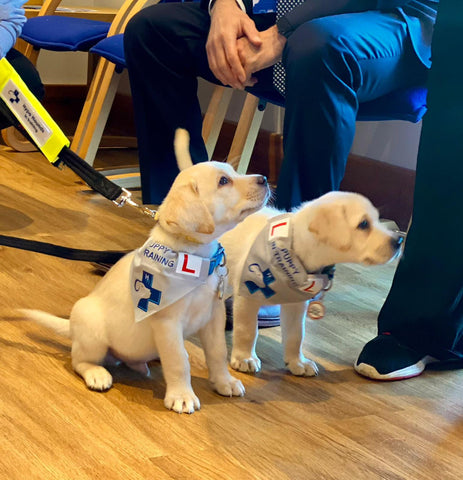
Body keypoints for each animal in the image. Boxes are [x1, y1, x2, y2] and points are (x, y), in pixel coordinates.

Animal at [21, 129, 270, 414]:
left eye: (232, 172)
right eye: (223, 181)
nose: (264, 178)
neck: (195, 257)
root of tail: (71, 327)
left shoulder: (214, 316)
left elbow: (217, 352)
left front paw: (224, 382)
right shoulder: (167, 322)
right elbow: (179, 360)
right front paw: (182, 395)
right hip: (92, 329)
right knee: (79, 360)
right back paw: (97, 373)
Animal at [221, 190, 402, 376]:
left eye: (377, 219)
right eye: (363, 224)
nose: (399, 241)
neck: (292, 248)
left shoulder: (296, 304)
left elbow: (296, 335)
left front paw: (297, 362)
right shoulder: (247, 296)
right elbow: (247, 330)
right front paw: (245, 358)